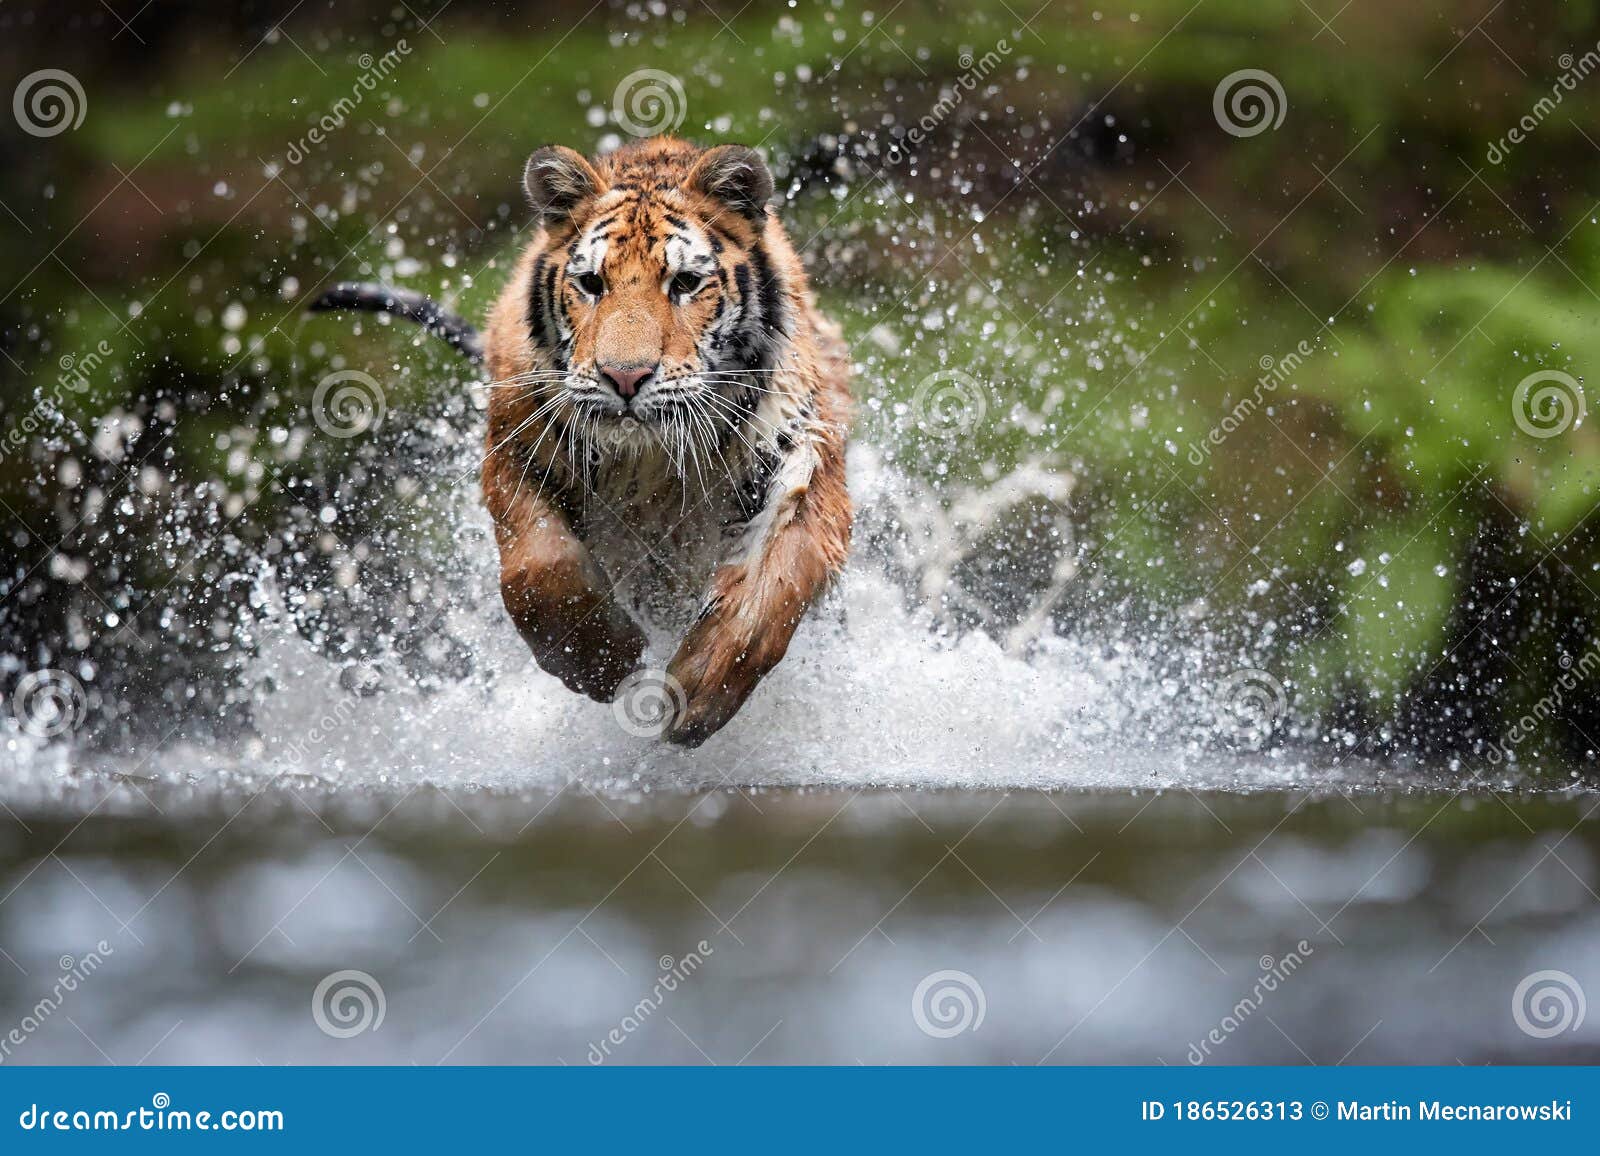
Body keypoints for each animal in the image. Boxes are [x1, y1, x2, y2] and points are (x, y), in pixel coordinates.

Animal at [316, 137, 857, 746]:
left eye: (685, 284)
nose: (624, 377)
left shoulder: (804, 457)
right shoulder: (515, 451)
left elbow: (775, 582)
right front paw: (605, 664)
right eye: (593, 284)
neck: (650, 462)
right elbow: (539, 571)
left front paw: (698, 693)